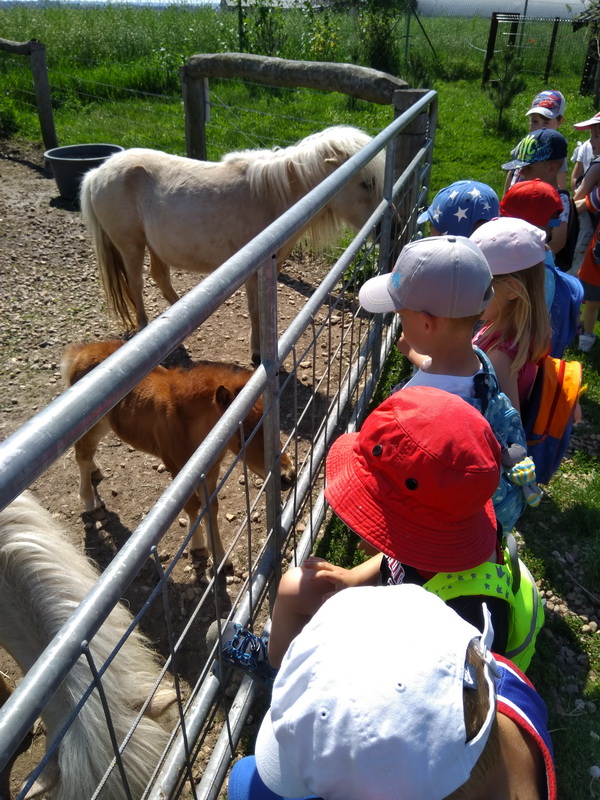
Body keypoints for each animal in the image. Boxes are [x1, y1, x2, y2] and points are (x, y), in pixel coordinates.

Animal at [61, 340, 296, 566]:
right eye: (244, 433)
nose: (289, 476)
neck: (188, 426)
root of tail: (82, 351)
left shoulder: (211, 470)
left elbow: (211, 507)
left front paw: (221, 557)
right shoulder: (178, 469)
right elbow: (192, 507)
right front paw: (200, 547)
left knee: (88, 454)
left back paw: (95, 471)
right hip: (93, 426)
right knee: (82, 453)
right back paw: (91, 502)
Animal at [79, 126, 386, 363]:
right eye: (366, 183)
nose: (385, 229)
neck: (272, 196)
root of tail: (96, 173)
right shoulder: (254, 272)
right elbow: (255, 311)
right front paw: (258, 354)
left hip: (154, 246)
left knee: (161, 277)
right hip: (130, 245)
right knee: (136, 284)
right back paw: (145, 328)